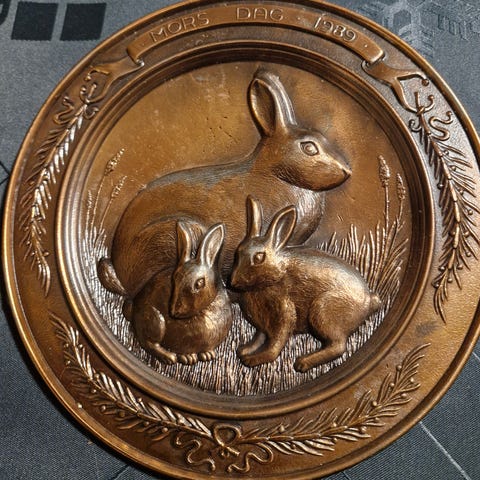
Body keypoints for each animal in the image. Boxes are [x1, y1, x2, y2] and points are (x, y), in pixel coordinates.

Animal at [126, 221, 232, 365]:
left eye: (199, 283)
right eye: (175, 278)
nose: (174, 312)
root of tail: (133, 310)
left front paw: (207, 355)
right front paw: (188, 358)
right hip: (155, 321)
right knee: (148, 343)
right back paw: (168, 356)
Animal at [230, 197, 381, 373]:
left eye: (259, 257)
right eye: (239, 252)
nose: (233, 281)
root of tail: (369, 301)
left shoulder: (284, 310)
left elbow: (276, 342)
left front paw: (254, 359)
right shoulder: (262, 324)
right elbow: (259, 337)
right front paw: (244, 350)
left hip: (322, 310)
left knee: (338, 346)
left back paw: (304, 362)